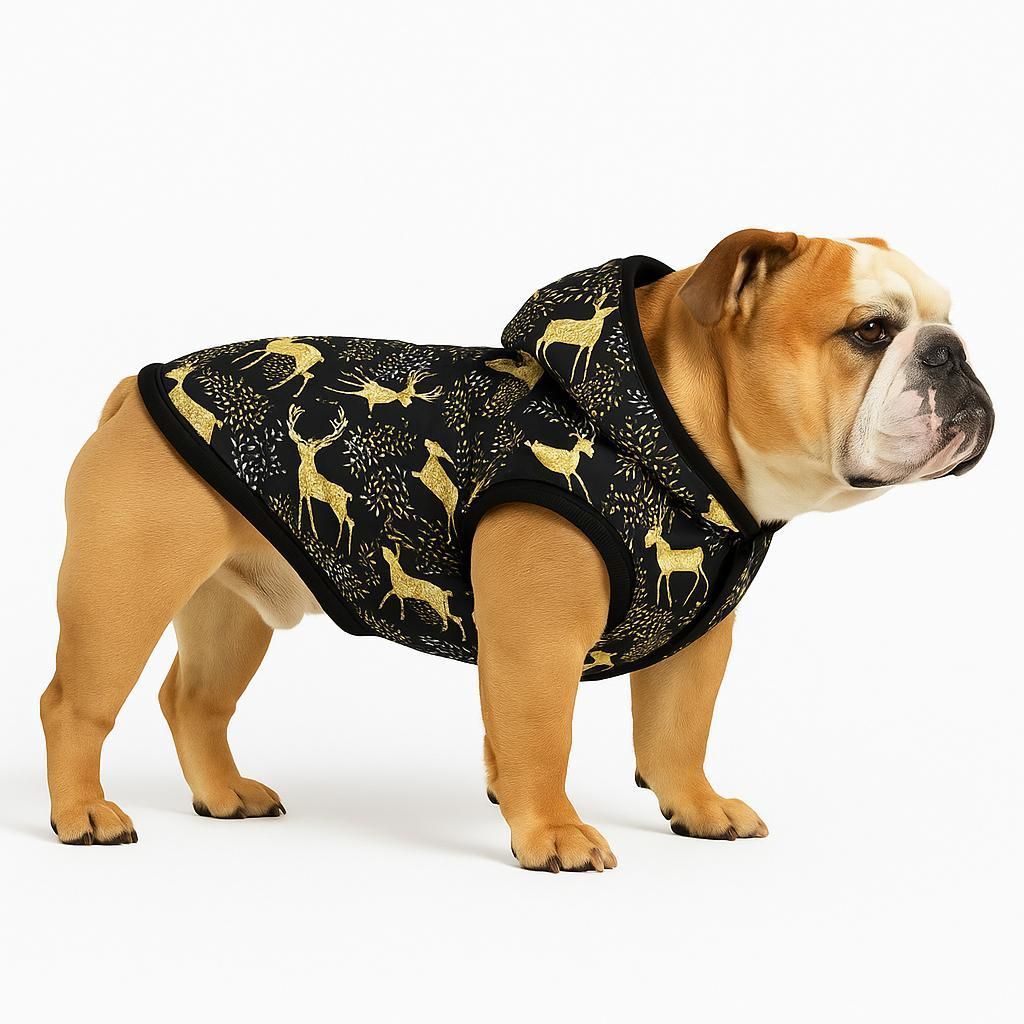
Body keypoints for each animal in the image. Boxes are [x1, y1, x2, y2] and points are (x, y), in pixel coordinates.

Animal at [286, 405, 355, 551]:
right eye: (303, 444)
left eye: (314, 448)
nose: (300, 442)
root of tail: (347, 494)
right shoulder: (301, 490)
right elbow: (301, 506)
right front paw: (299, 527)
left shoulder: (307, 491)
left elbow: (310, 510)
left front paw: (315, 534)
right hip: (342, 507)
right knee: (351, 521)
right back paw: (347, 549)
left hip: (337, 505)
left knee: (342, 521)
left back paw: (336, 546)